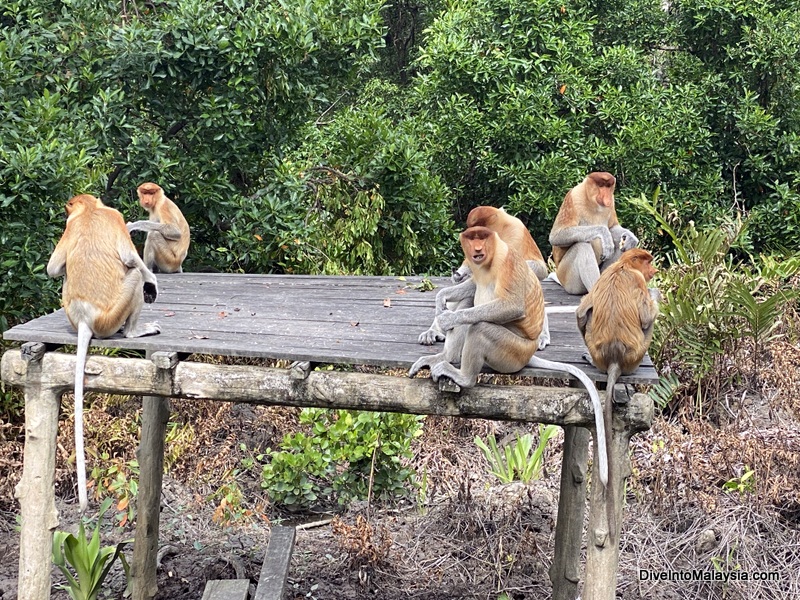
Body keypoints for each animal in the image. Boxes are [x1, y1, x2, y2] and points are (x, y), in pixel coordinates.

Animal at [47, 193, 161, 510]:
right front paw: (153, 282)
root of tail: (87, 319)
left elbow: (53, 268)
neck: (89, 211)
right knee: (133, 273)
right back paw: (136, 329)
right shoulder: (115, 216)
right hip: (113, 315)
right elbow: (131, 259)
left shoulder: (69, 226)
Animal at [410, 227, 608, 486]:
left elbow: (511, 306)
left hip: (511, 352)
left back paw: (462, 375)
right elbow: (472, 287)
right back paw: (444, 357)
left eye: (483, 241)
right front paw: (441, 299)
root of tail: (528, 354)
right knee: (470, 303)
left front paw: (447, 318)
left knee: (481, 326)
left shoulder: (508, 263)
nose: (477, 253)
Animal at [418, 205, 552, 350]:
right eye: (471, 237)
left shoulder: (516, 232)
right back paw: (433, 331)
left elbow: (538, 269)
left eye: (482, 235)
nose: (478, 249)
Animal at [580, 248, 660, 536]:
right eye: (647, 262)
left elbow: (581, 310)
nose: (654, 271)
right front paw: (657, 293)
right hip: (637, 354)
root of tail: (614, 358)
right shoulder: (638, 280)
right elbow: (647, 315)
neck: (623, 266)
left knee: (585, 315)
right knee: (648, 323)